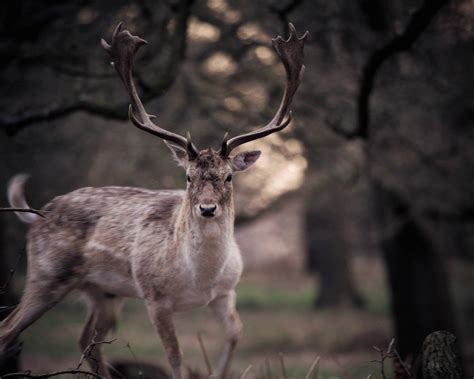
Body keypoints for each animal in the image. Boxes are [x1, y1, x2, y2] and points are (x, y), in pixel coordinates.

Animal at [0, 22, 308, 378]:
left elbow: (235, 334)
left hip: (105, 293)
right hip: (47, 274)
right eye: (188, 177)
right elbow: (175, 358)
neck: (199, 279)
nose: (207, 208)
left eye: (229, 176)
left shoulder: (226, 292)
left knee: (86, 340)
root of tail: (39, 214)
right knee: (8, 329)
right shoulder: (155, 297)